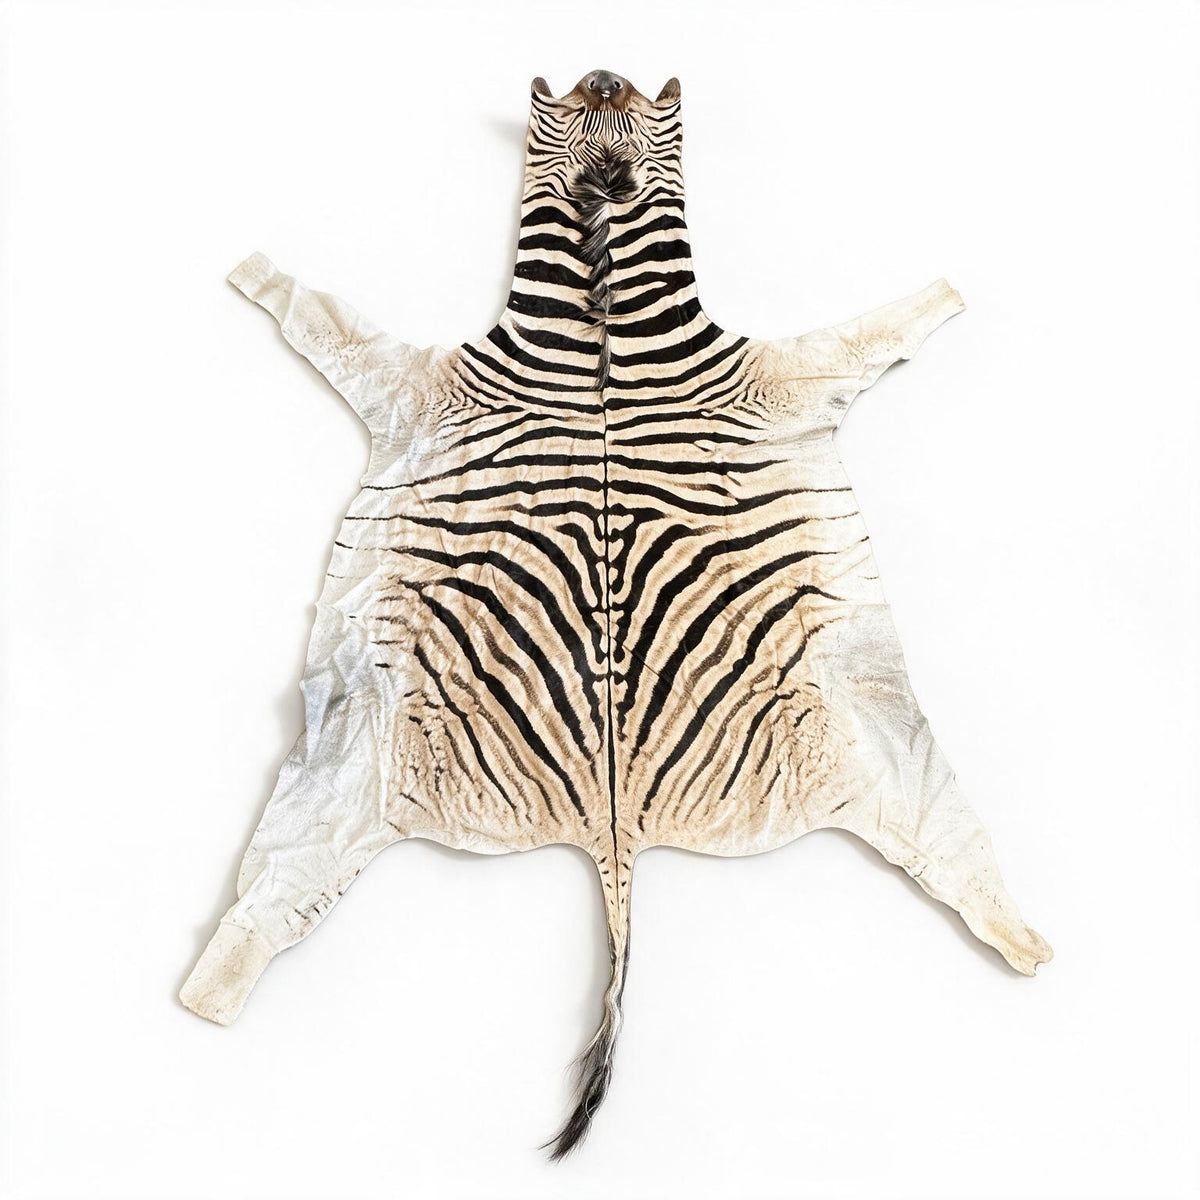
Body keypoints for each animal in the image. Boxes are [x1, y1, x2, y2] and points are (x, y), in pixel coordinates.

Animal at [180, 68, 1052, 1158]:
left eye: (638, 102)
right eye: (581, 103)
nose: (602, 74)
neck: (603, 336)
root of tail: (615, 827)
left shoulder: (791, 374)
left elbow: (881, 326)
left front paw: (946, 293)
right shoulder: (415, 383)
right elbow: (319, 312)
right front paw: (255, 269)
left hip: (887, 754)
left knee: (963, 863)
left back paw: (1030, 948)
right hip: (343, 771)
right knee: (272, 906)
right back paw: (205, 997)